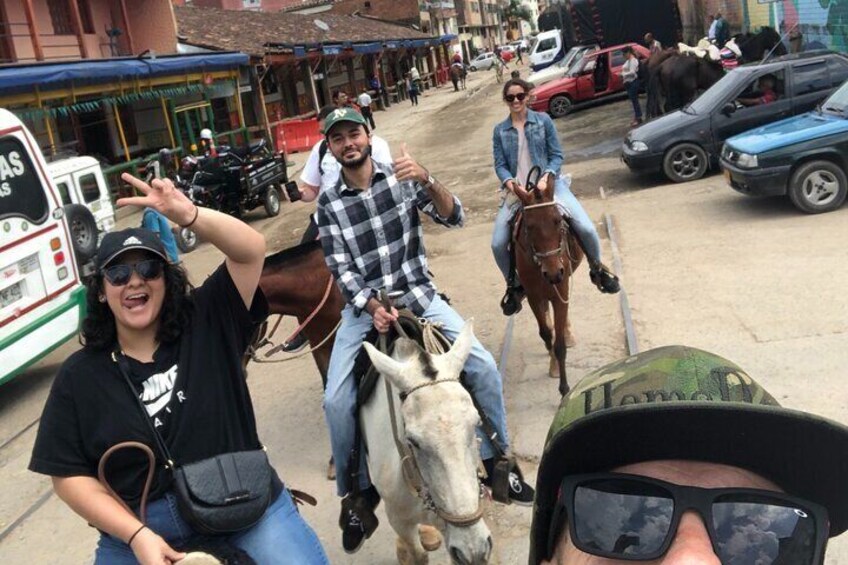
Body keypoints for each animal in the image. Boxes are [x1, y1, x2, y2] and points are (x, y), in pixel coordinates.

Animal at [362, 322, 494, 564]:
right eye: (412, 441)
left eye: (476, 423)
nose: (475, 550)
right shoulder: (399, 521)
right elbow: (417, 554)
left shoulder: (449, 526)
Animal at [510, 170, 584, 394]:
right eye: (529, 226)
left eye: (558, 220)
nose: (553, 273)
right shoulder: (534, 297)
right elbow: (545, 333)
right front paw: (553, 365)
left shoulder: (560, 292)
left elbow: (559, 345)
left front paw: (564, 389)